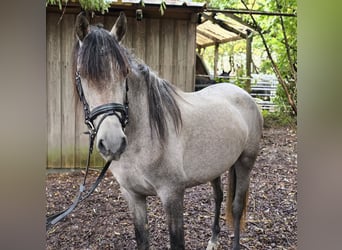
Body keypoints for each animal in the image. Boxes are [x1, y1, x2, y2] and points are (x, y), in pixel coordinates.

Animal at [73, 12, 262, 250]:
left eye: (124, 73)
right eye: (82, 74)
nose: (113, 143)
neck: (145, 138)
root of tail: (242, 93)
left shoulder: (172, 195)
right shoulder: (133, 196)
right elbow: (142, 241)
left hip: (246, 162)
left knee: (236, 207)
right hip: (217, 167)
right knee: (218, 197)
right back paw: (213, 241)